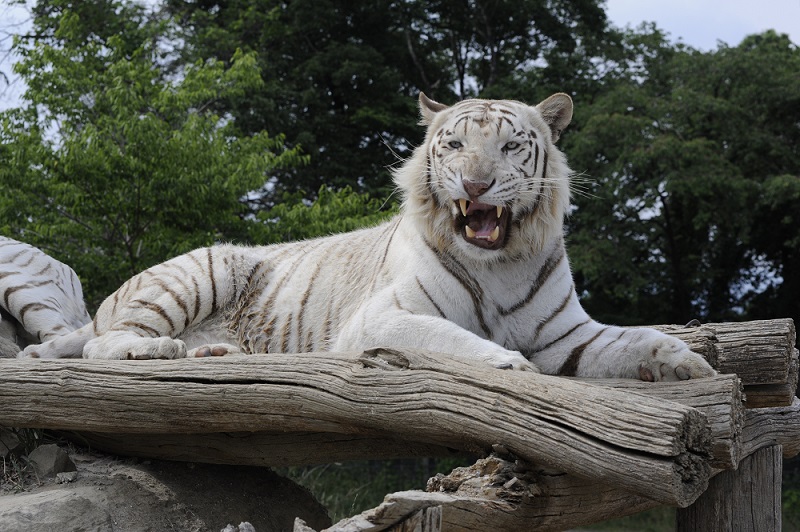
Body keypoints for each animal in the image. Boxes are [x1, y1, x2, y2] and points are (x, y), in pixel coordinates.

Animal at [21, 93, 716, 380]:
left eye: (510, 146)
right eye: (455, 145)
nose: (477, 183)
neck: (500, 263)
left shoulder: (567, 334)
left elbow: (637, 340)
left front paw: (689, 363)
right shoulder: (382, 318)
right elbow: (450, 337)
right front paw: (506, 361)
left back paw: (212, 354)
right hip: (200, 271)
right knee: (102, 341)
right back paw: (154, 351)